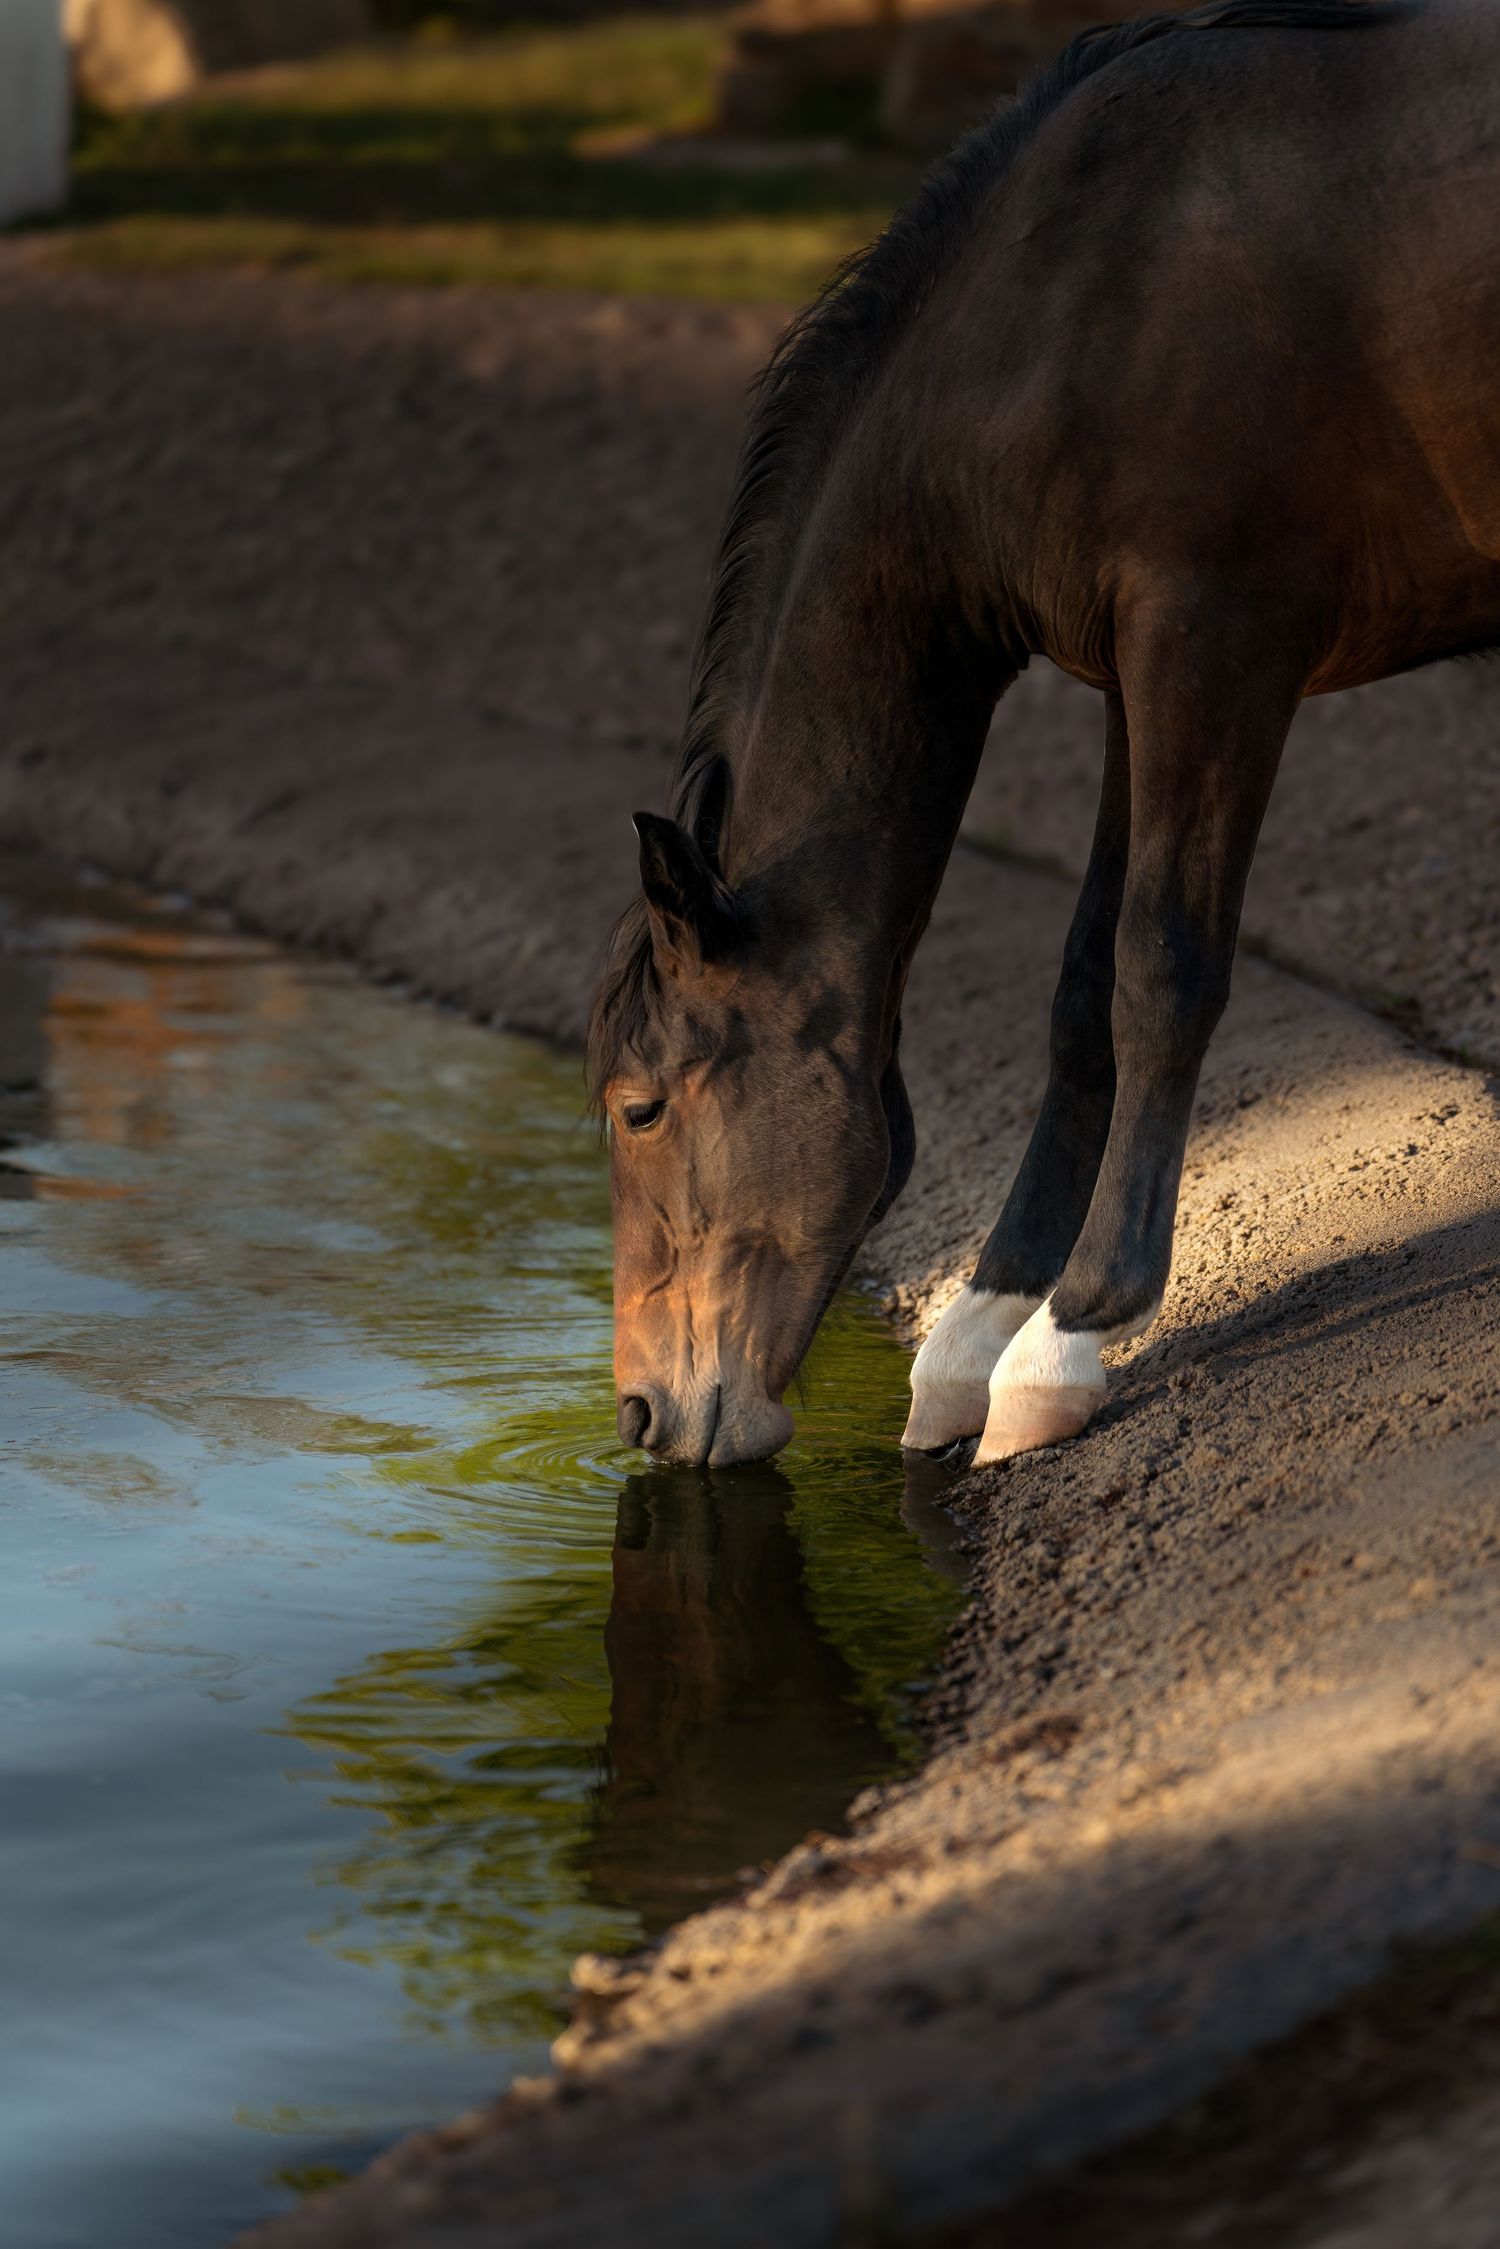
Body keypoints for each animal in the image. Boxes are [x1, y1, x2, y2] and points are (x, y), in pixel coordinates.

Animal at [588, 0, 1500, 1470]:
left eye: (640, 1106)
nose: (642, 1411)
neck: (1071, 299)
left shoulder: (1211, 646)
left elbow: (1161, 967)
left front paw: (1072, 1333)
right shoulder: (1137, 678)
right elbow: (1082, 988)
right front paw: (980, 1326)